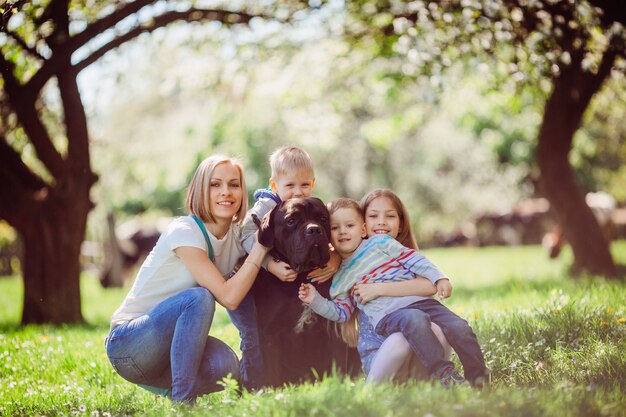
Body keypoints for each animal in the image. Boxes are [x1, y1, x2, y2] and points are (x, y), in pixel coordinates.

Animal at [250, 197, 358, 386]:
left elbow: (338, 364)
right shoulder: (269, 334)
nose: (314, 229)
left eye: (323, 218)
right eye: (291, 221)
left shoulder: (333, 327)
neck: (300, 278)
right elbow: (273, 374)